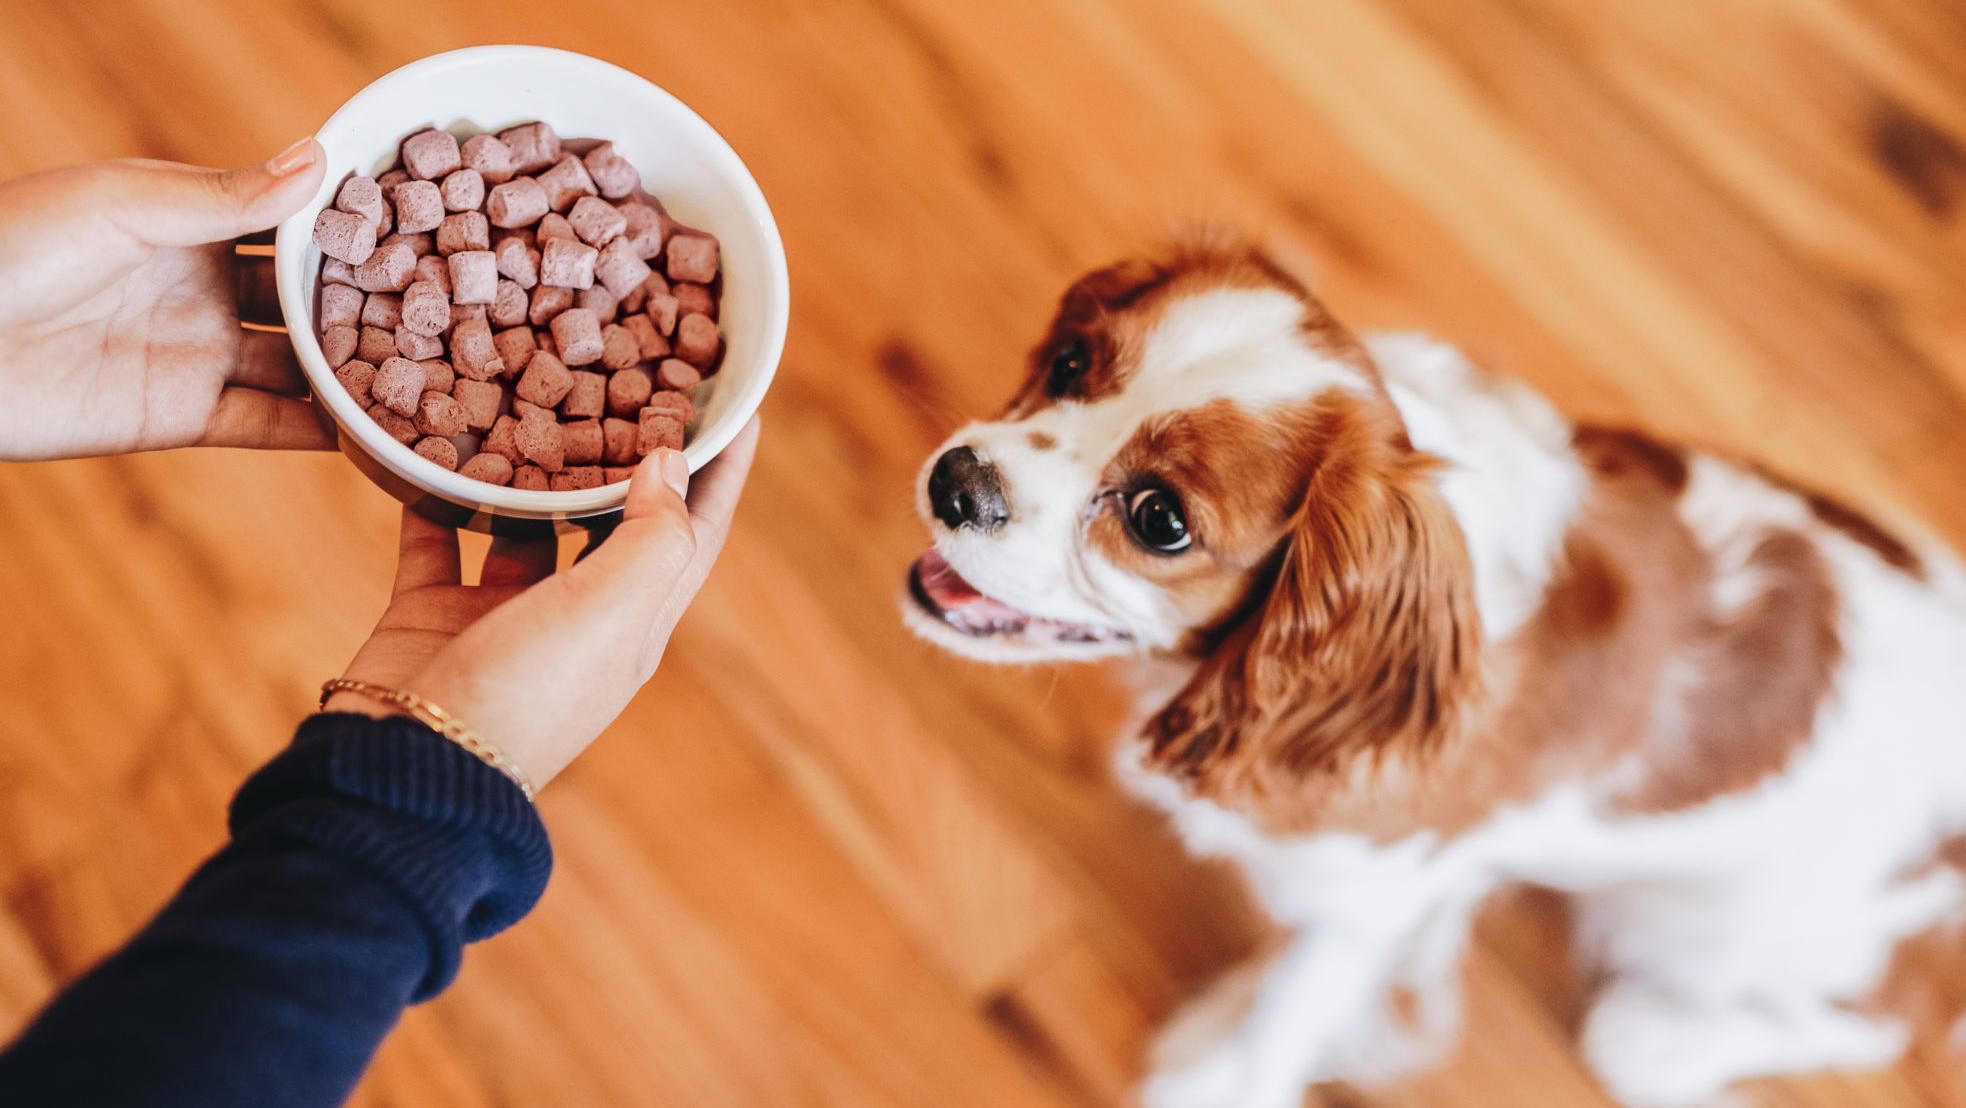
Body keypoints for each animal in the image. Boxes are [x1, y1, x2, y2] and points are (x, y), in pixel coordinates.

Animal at [908, 240, 1966, 1108]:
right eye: (1069, 364)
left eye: (1159, 519)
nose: (954, 482)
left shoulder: (1379, 886)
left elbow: (1293, 999)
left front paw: (1226, 1071)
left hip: (1721, 928)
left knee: (1884, 1018)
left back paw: (1663, 1045)